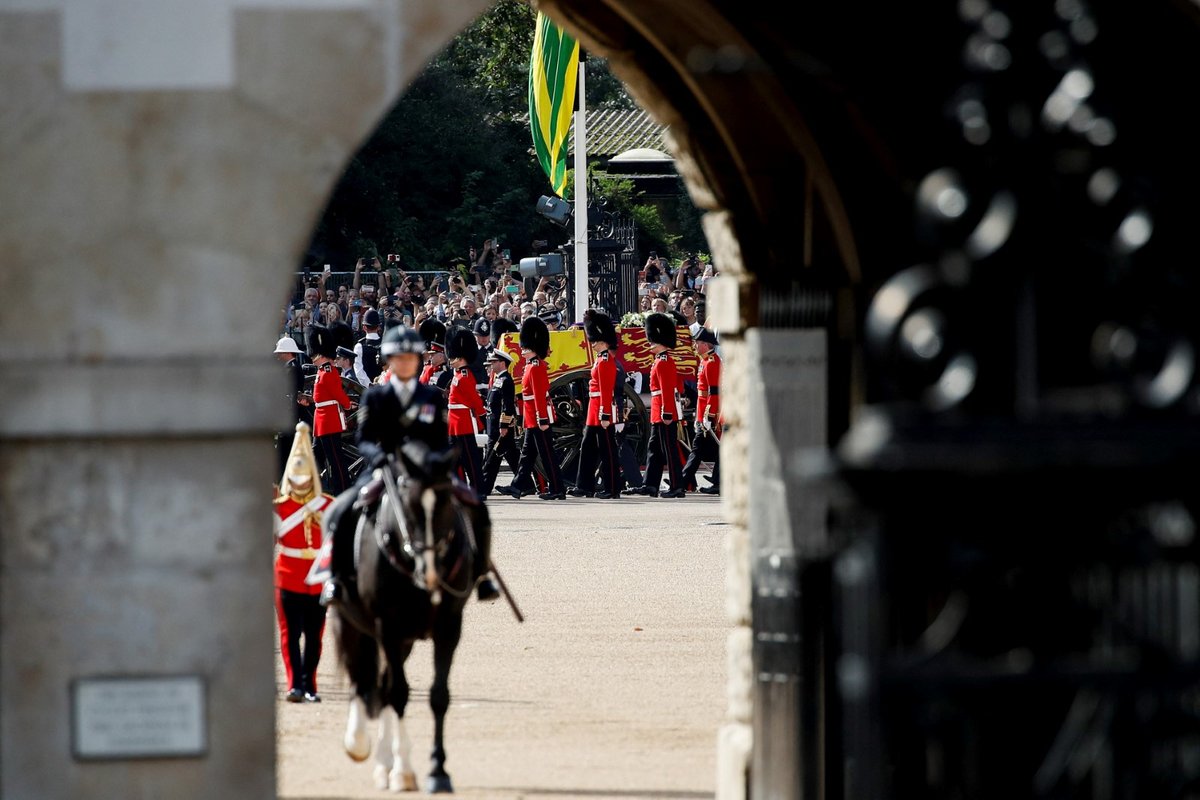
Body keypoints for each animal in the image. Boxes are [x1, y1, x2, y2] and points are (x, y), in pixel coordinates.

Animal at [331, 443, 484, 796]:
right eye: (408, 506)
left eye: (446, 505)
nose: (430, 573)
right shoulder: (387, 627)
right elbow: (398, 692)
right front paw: (402, 770)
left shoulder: (447, 628)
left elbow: (438, 696)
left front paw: (437, 770)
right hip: (350, 622)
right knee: (361, 677)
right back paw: (359, 743)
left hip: (403, 641)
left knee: (382, 684)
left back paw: (384, 761)